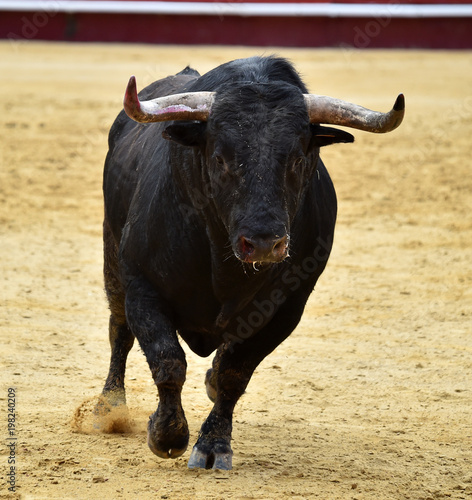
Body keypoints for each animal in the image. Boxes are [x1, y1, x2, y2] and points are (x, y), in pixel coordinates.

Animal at [100, 56, 406, 470]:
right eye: (220, 158)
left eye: (298, 158)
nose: (263, 243)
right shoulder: (142, 287)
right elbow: (167, 360)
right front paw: (167, 435)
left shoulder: (286, 308)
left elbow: (234, 373)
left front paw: (213, 446)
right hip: (112, 258)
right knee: (119, 331)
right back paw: (107, 409)